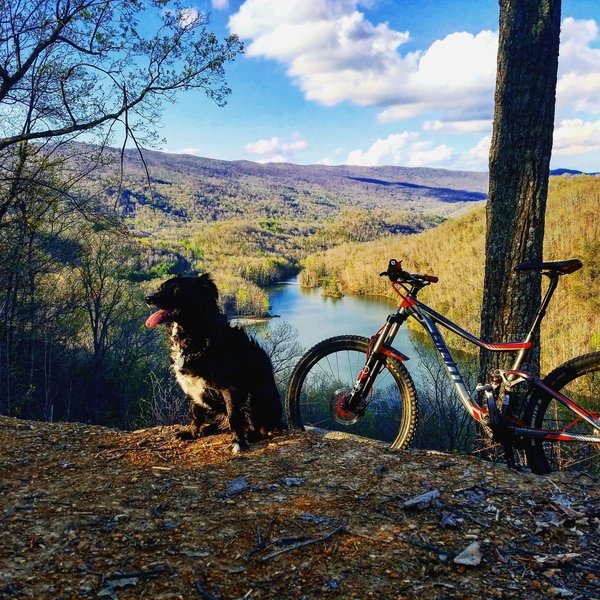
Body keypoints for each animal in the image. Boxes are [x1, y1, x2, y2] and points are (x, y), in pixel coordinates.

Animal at [147, 274, 284, 452]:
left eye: (176, 290)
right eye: (161, 288)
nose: (148, 298)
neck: (197, 337)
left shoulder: (230, 388)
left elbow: (234, 417)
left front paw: (238, 442)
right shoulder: (192, 389)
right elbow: (195, 414)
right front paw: (192, 433)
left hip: (254, 397)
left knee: (256, 427)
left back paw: (249, 435)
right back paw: (209, 429)